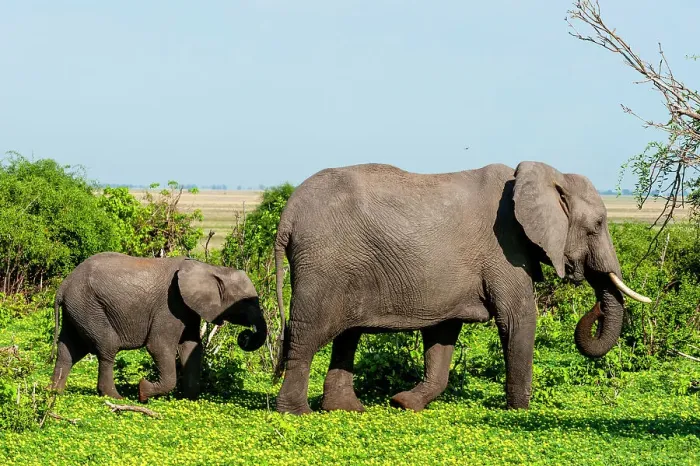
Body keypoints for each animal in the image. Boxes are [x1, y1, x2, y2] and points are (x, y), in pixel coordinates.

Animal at [50, 252, 266, 402]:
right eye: (248, 302)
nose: (246, 336)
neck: (211, 268)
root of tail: (63, 286)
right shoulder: (170, 306)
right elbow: (159, 346)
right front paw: (143, 391)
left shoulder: (187, 308)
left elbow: (192, 348)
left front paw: (189, 398)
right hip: (89, 306)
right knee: (107, 347)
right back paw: (115, 397)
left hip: (78, 309)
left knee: (68, 350)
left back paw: (53, 392)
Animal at [272, 161, 650, 415]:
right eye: (597, 225)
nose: (595, 307)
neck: (546, 175)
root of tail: (288, 214)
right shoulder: (505, 248)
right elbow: (518, 319)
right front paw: (519, 412)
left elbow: (442, 335)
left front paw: (404, 403)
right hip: (324, 264)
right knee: (308, 334)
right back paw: (296, 413)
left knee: (346, 335)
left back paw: (346, 410)